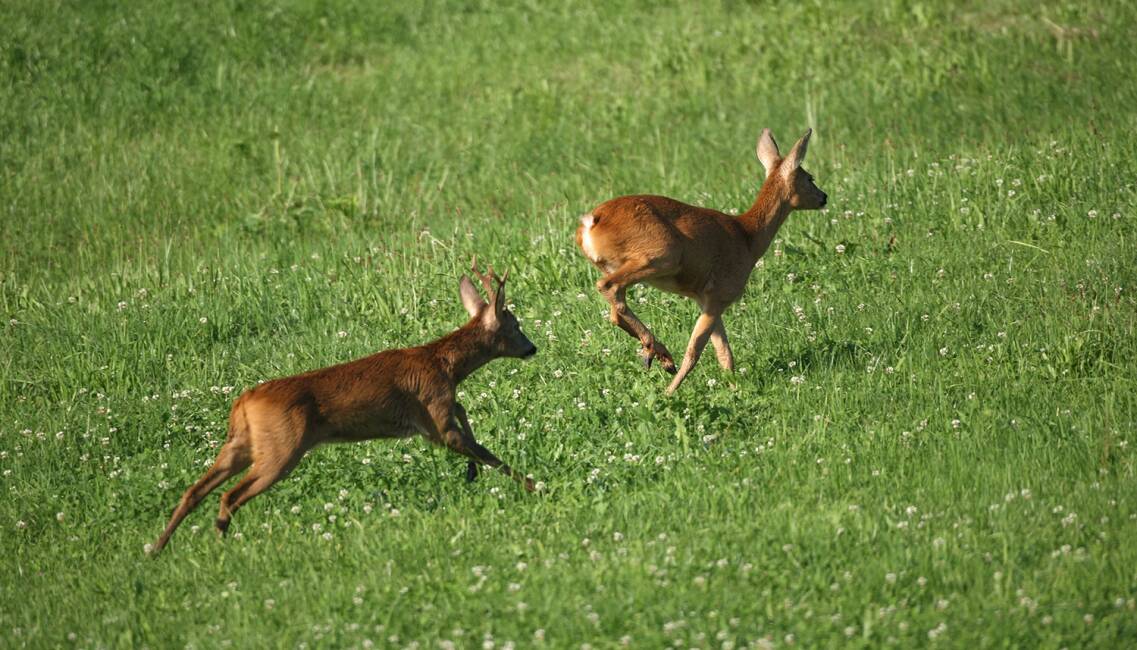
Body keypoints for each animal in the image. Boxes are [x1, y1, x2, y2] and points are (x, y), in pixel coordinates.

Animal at [151, 261, 536, 556]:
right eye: (516, 325)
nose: (532, 348)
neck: (445, 364)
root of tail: (242, 400)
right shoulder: (433, 415)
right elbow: (483, 448)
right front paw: (534, 485)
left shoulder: (441, 408)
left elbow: (466, 415)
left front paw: (476, 473)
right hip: (281, 447)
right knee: (230, 495)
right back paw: (219, 542)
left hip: (242, 443)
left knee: (194, 490)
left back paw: (156, 549)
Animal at [577, 126, 827, 390]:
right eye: (810, 178)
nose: (824, 197)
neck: (748, 237)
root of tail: (591, 222)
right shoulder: (720, 293)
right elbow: (695, 350)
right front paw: (670, 392)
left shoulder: (705, 298)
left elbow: (724, 354)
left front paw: (733, 389)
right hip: (662, 254)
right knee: (608, 287)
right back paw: (661, 354)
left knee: (615, 310)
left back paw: (656, 353)